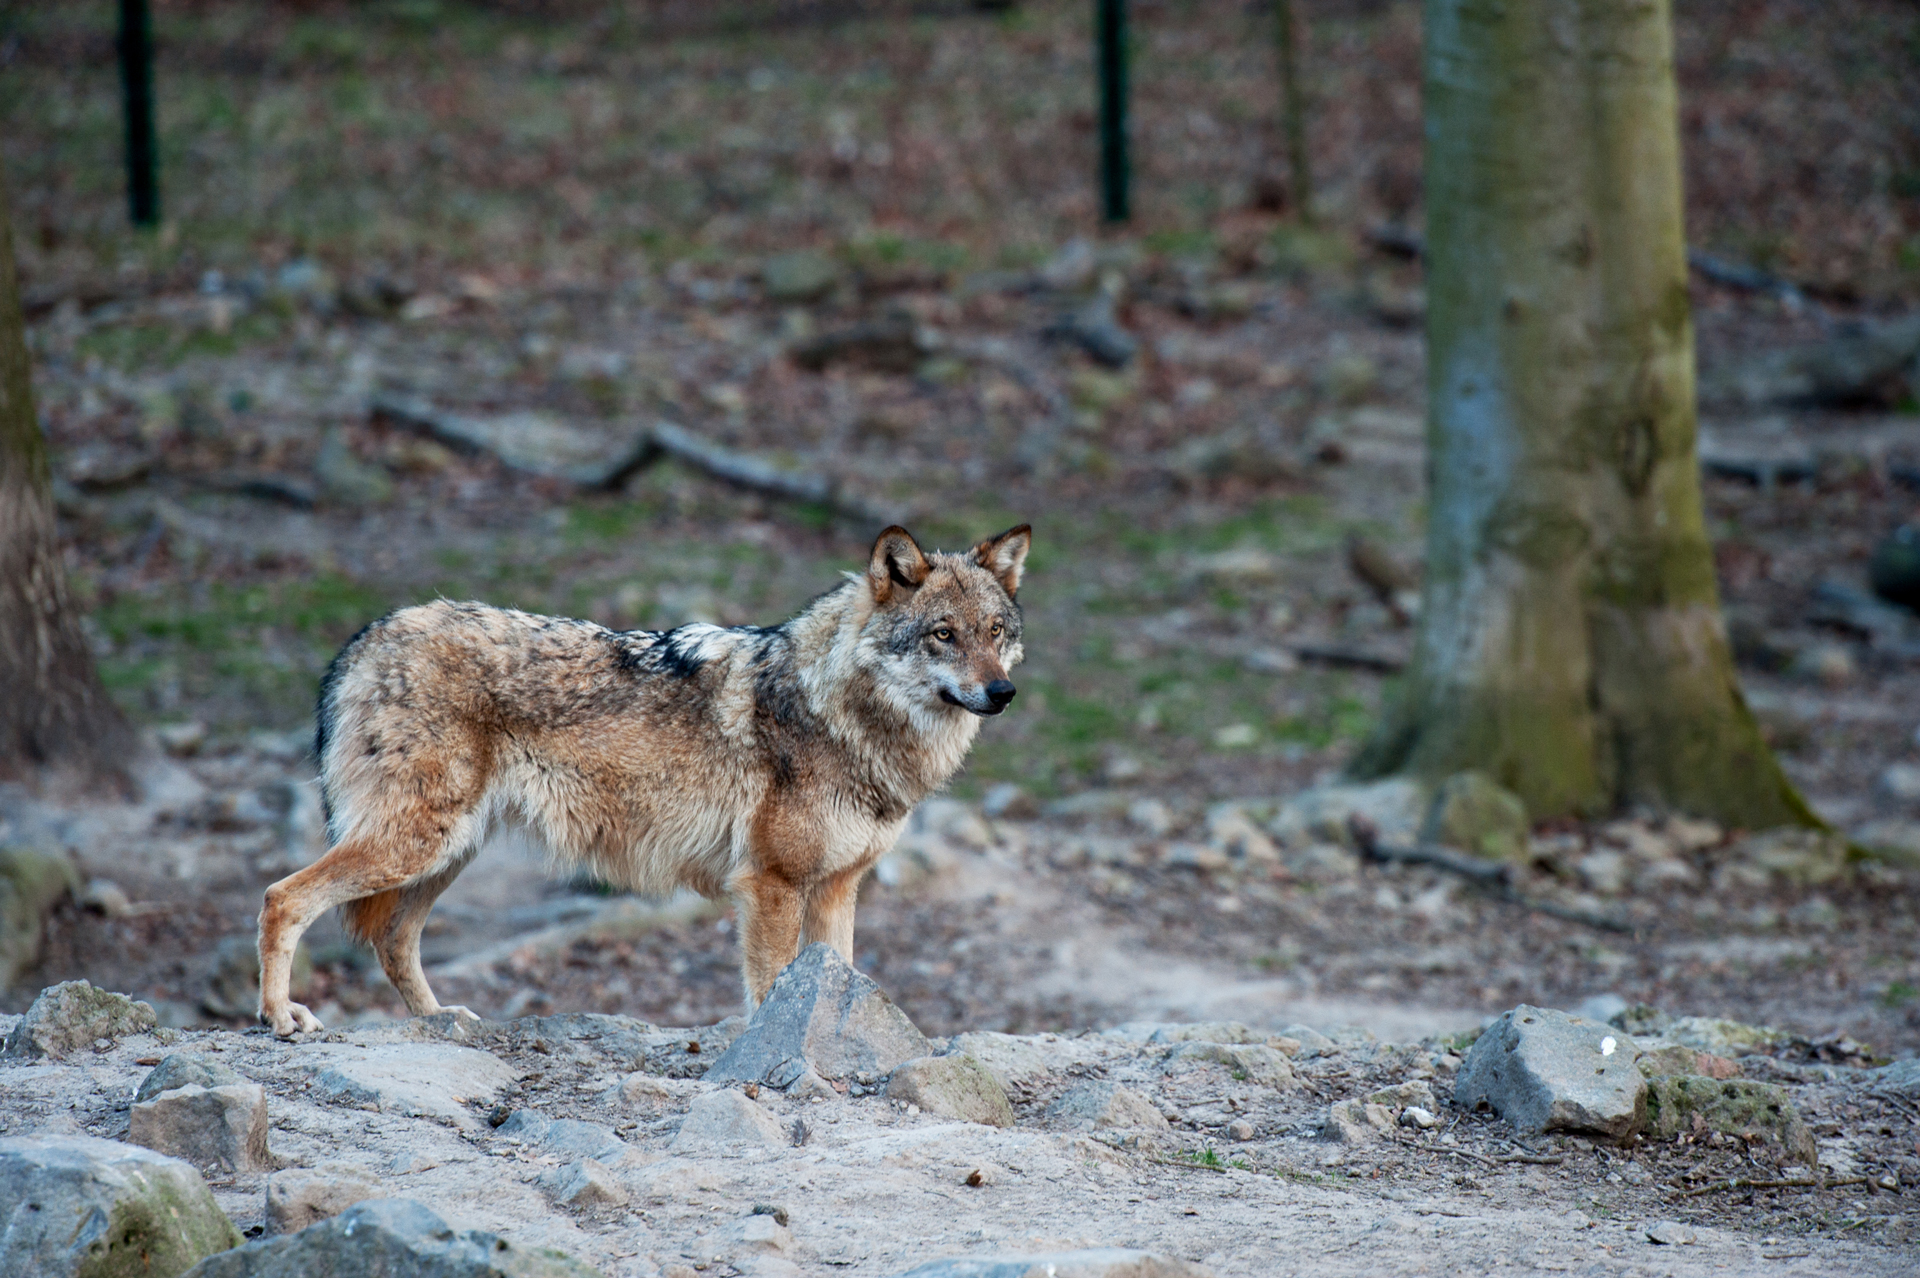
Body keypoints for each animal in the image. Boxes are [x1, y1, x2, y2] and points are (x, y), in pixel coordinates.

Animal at [256, 524, 1030, 1037]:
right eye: (943, 635)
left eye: (996, 631)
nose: (1003, 693)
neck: (839, 712)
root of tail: (367, 637)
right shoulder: (772, 884)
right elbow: (772, 986)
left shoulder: (839, 886)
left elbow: (833, 979)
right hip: (416, 845)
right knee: (281, 897)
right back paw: (281, 1016)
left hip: (446, 853)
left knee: (392, 939)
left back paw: (440, 1020)